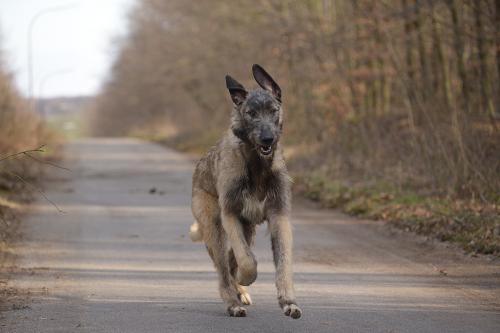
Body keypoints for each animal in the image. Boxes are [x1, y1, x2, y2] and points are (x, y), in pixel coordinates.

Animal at [190, 64, 300, 316]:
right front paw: (244, 278)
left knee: (231, 260)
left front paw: (288, 301)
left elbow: (284, 262)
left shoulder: (279, 215)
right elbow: (247, 261)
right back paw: (233, 301)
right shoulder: (230, 214)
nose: (267, 138)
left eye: (273, 110)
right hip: (214, 227)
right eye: (251, 113)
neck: (257, 164)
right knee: (224, 269)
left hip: (248, 229)